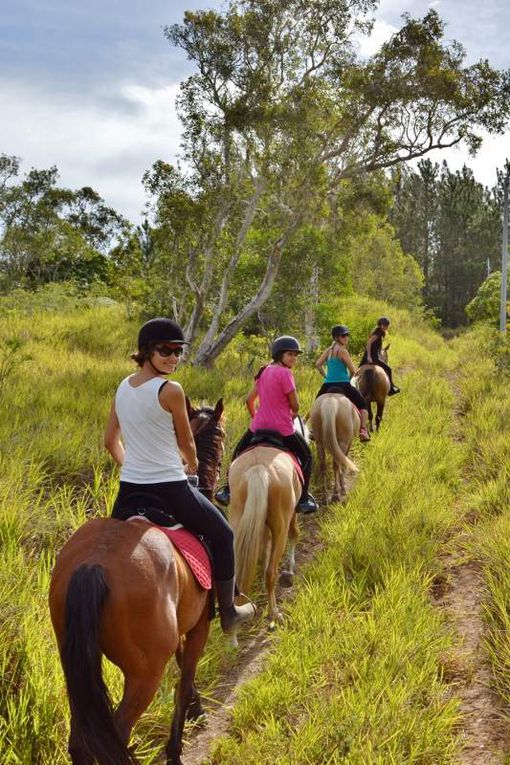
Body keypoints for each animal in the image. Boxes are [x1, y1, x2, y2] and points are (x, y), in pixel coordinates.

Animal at [48, 400, 224, 764]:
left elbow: (184, 669)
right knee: (117, 731)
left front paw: (196, 712)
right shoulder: (199, 624)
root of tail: (94, 564)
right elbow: (183, 682)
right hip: (145, 673)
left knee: (81, 740)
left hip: (74, 662)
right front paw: (176, 748)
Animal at [228, 448, 302, 628]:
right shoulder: (293, 513)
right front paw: (290, 568)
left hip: (237, 518)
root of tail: (258, 468)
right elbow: (294, 533)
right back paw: (274, 613)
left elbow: (265, 546)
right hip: (280, 526)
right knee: (271, 572)